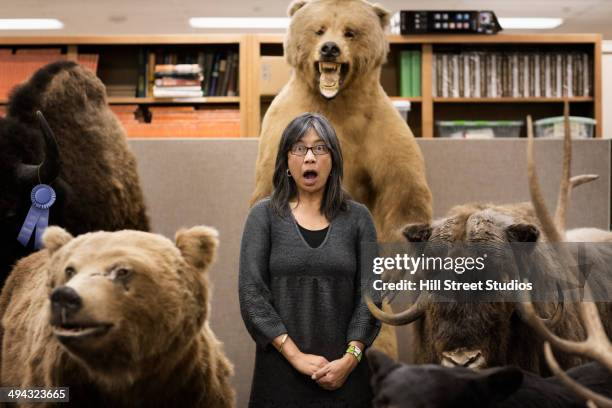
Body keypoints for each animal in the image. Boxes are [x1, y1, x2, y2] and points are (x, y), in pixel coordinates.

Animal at [251, 0, 432, 242]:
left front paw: (415, 228)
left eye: (350, 32)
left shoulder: (378, 126)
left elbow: (401, 178)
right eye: (319, 29)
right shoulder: (285, 121)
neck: (334, 102)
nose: (329, 48)